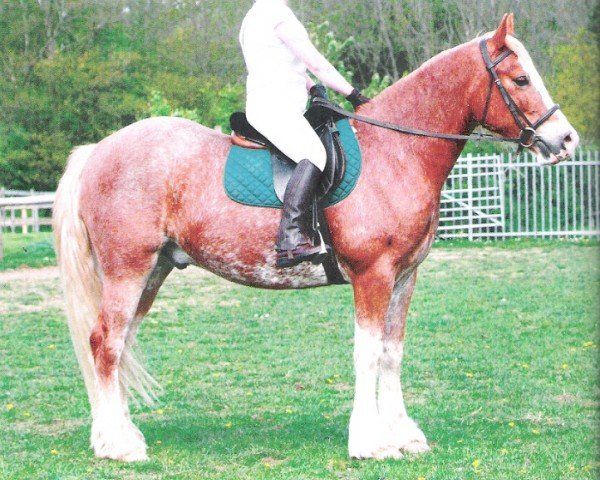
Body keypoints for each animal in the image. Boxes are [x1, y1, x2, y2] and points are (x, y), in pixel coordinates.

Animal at [54, 15, 580, 462]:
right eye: (521, 79)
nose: (567, 141)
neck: (396, 150)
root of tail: (98, 150)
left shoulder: (405, 277)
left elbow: (392, 353)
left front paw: (404, 434)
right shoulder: (373, 275)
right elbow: (367, 352)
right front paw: (370, 442)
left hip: (153, 271)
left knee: (119, 343)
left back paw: (118, 435)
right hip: (128, 271)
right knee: (106, 343)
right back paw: (117, 446)